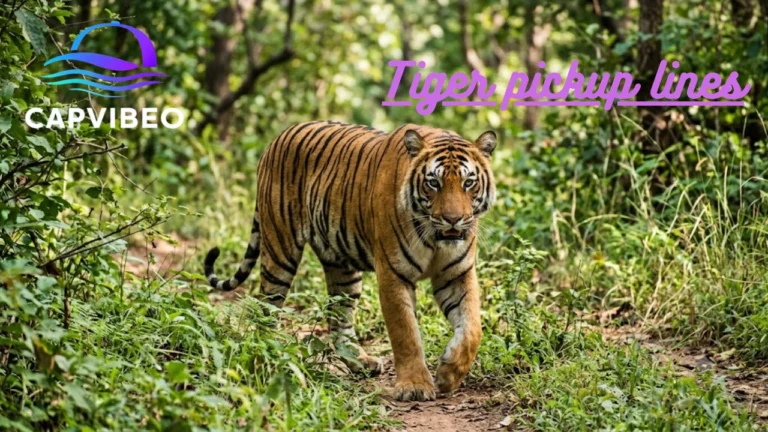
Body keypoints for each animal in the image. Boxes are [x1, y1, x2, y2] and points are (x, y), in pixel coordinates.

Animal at [204, 120, 497, 401]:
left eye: (468, 183)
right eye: (433, 183)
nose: (452, 219)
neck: (436, 238)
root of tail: (278, 137)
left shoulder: (457, 274)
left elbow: (472, 328)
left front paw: (448, 374)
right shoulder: (393, 274)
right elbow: (405, 333)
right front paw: (414, 386)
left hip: (342, 267)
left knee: (339, 319)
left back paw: (360, 361)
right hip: (280, 250)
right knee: (267, 308)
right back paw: (269, 352)